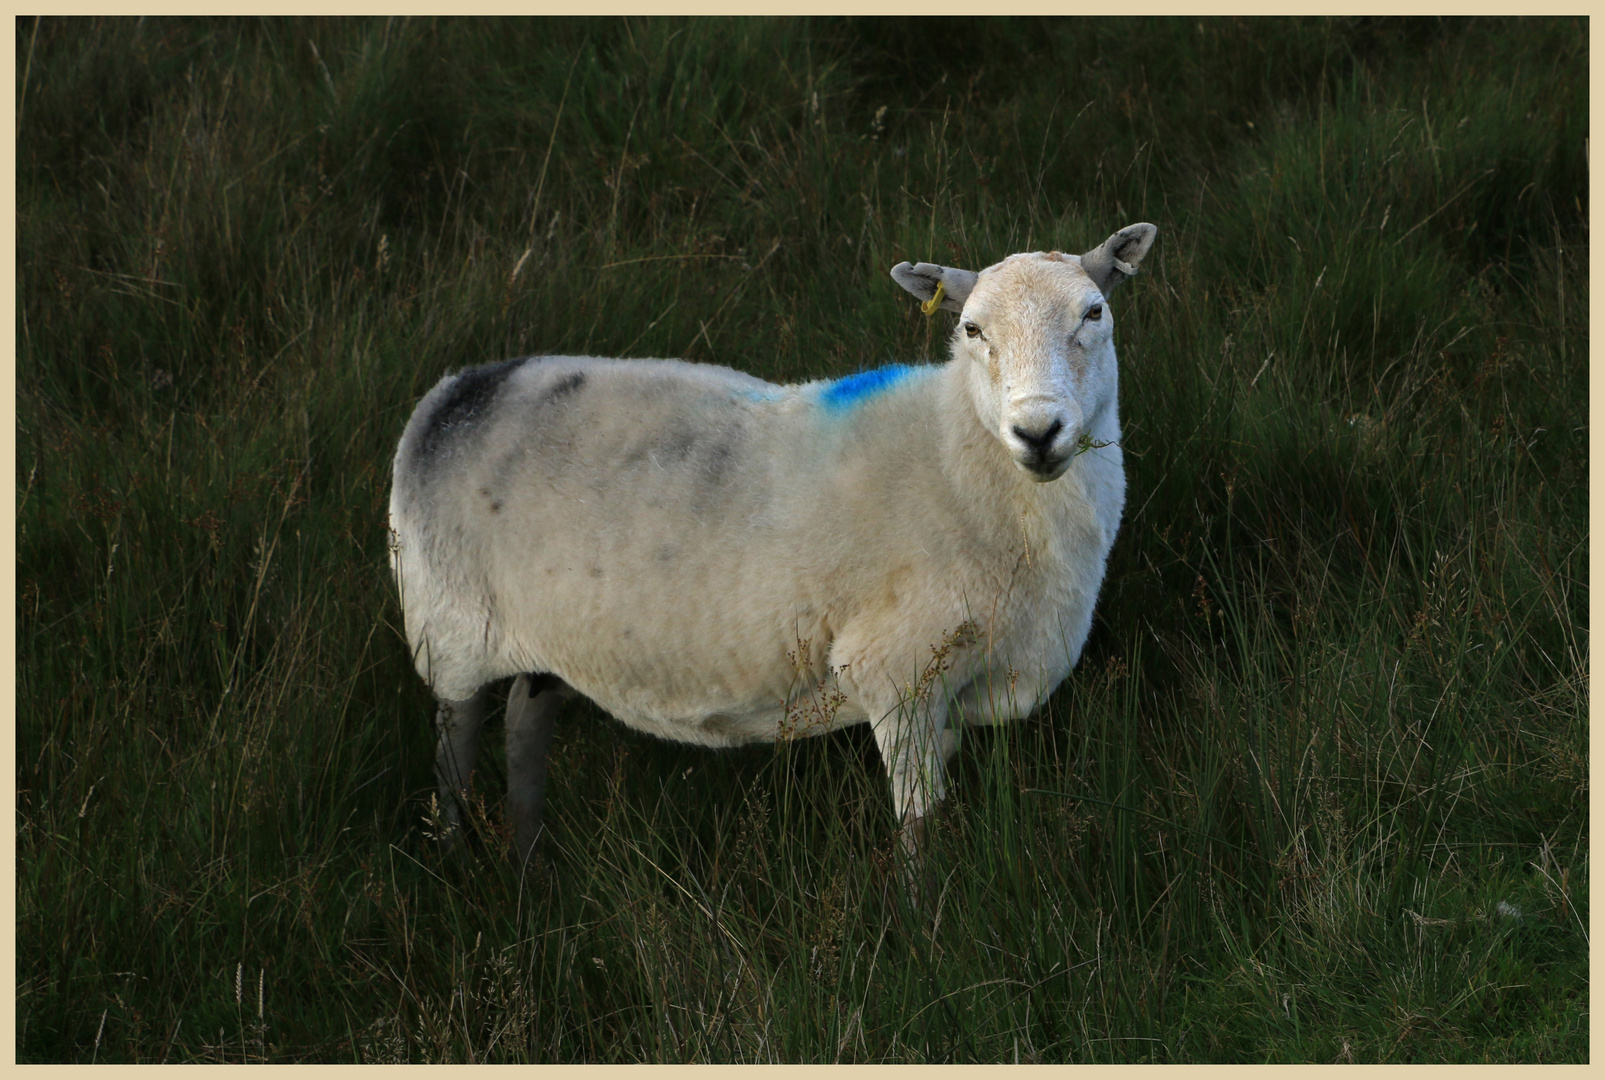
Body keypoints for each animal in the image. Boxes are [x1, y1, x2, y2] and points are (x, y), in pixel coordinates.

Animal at [394, 218, 1162, 866]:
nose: (1038, 432)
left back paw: (527, 868)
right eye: (970, 329)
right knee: (455, 749)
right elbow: (918, 830)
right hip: (448, 631)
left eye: (1094, 313)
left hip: (543, 645)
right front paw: (926, 932)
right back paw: (457, 861)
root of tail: (455, 391)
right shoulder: (896, 671)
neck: (958, 456)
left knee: (524, 731)